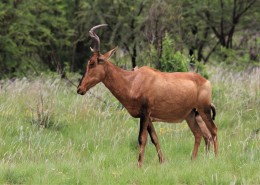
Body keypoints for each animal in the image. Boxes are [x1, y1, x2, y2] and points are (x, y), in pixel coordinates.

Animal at [76, 23, 217, 167]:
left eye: (92, 63)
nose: (80, 89)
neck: (133, 80)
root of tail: (206, 81)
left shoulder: (145, 113)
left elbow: (142, 138)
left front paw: (139, 164)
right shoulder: (147, 116)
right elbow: (154, 138)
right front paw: (162, 161)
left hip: (204, 110)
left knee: (213, 131)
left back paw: (216, 157)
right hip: (190, 115)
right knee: (199, 134)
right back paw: (193, 159)